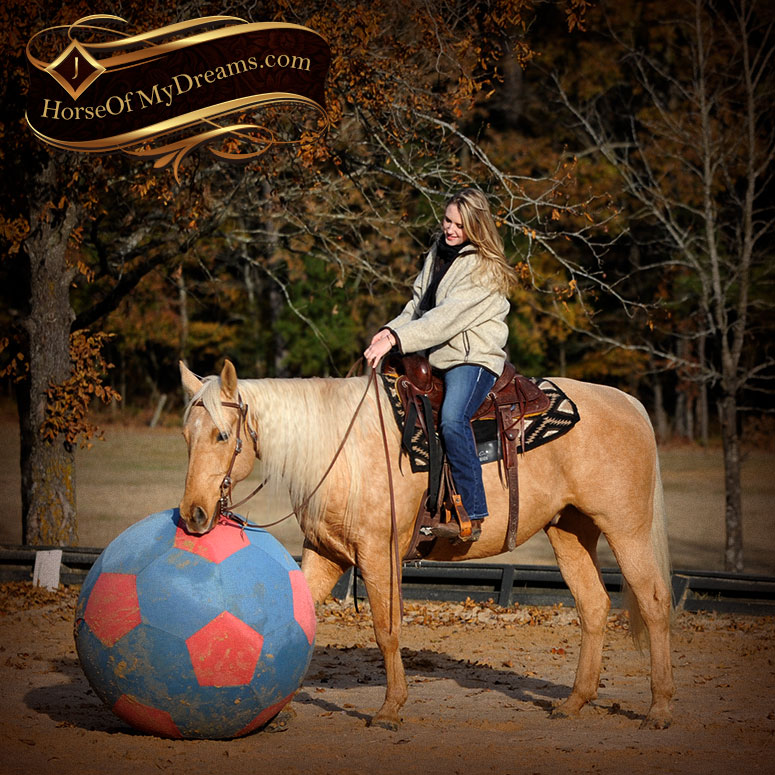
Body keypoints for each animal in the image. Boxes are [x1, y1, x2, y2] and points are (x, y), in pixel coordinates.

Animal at [180, 360, 672, 732]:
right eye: (187, 436)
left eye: (222, 435)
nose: (194, 515)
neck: (342, 450)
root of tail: (627, 402)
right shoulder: (326, 554)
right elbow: (299, 619)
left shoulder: (378, 555)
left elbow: (386, 630)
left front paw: (390, 709)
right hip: (570, 530)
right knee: (594, 606)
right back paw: (574, 703)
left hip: (626, 529)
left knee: (653, 603)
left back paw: (659, 709)